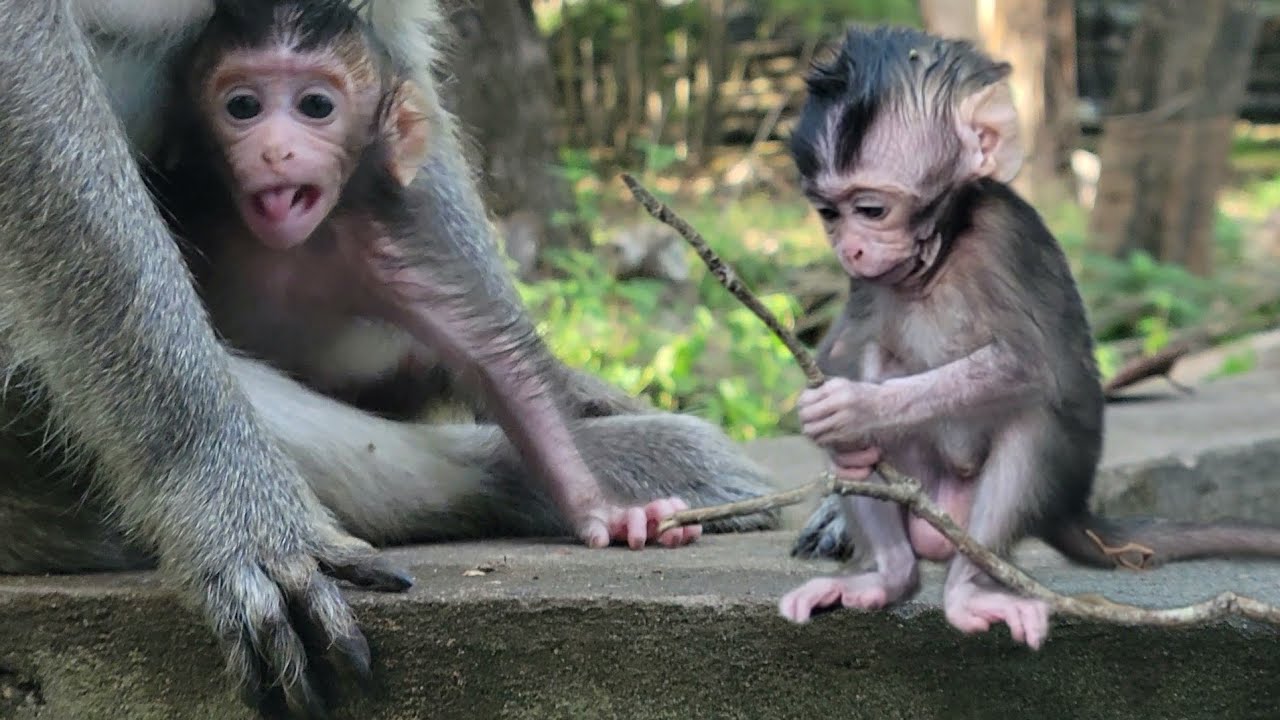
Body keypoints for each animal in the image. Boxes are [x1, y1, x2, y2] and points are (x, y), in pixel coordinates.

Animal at [776, 26, 1280, 650]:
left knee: (1030, 417)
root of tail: (1072, 510)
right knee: (875, 367)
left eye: (871, 209)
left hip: (1005, 502)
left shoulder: (1002, 237)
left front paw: (856, 408)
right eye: (829, 214)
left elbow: (1024, 365)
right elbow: (838, 355)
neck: (939, 255)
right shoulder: (869, 281)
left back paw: (968, 589)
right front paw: (835, 419)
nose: (851, 248)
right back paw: (887, 573)